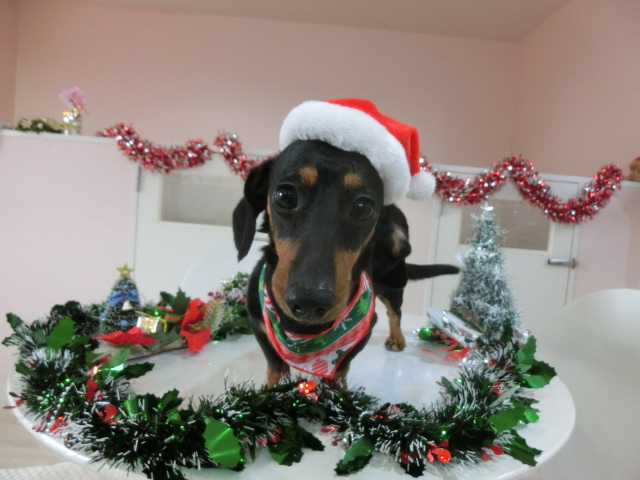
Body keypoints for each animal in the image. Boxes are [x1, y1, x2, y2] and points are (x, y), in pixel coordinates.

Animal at [232, 139, 458, 389]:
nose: (310, 300)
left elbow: (341, 366)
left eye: (363, 207)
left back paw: (396, 337)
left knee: (395, 313)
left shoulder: (366, 328)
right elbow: (275, 364)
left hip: (392, 287)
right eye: (285, 196)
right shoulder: (258, 323)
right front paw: (272, 389)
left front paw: (335, 391)